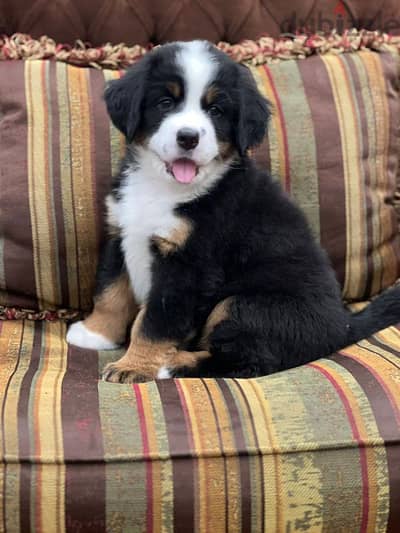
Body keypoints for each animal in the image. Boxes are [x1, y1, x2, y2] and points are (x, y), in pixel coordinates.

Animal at [67, 40, 400, 382]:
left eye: (216, 110)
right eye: (165, 102)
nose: (188, 138)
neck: (162, 187)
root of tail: (343, 326)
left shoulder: (188, 265)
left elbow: (155, 322)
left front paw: (133, 366)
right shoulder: (121, 232)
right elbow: (110, 293)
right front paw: (95, 334)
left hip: (244, 304)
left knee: (248, 360)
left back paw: (172, 364)